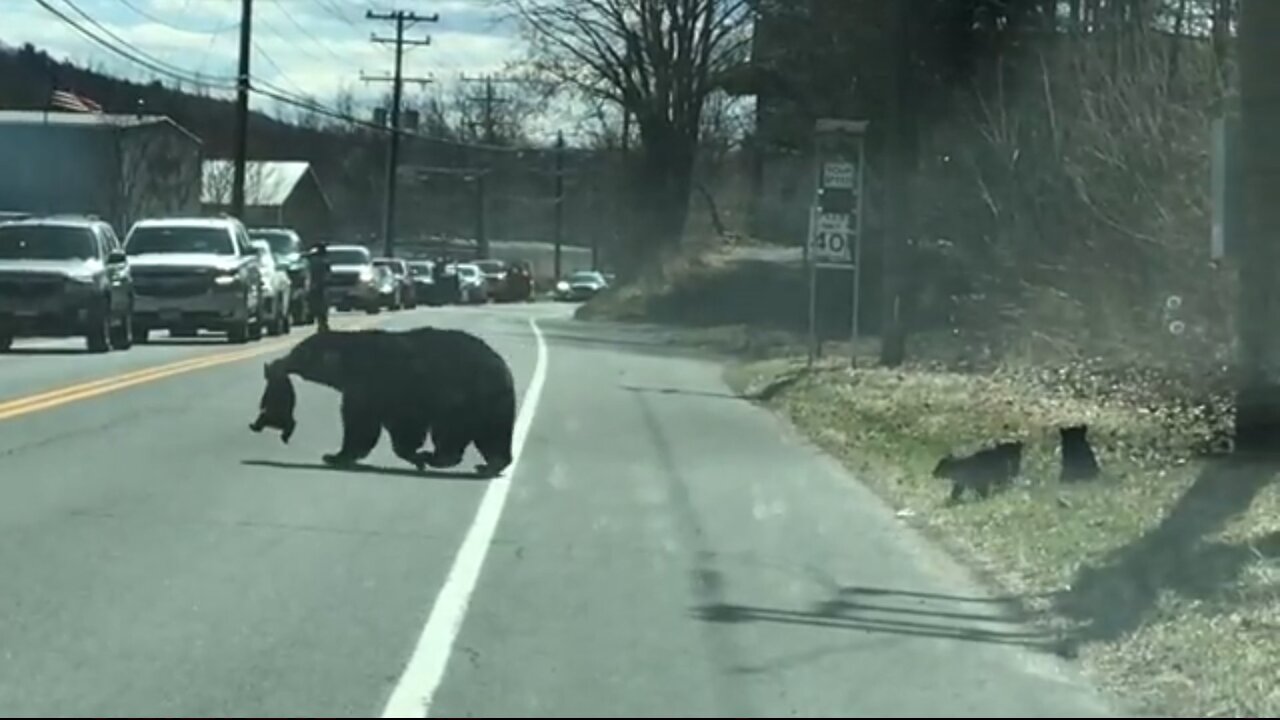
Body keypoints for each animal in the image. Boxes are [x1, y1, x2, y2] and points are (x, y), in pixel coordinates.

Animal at [263, 326, 514, 474]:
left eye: (299, 352)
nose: (278, 363)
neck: (350, 361)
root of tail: (505, 370)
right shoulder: (373, 392)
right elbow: (379, 426)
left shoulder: (378, 384)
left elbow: (365, 426)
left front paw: (334, 456)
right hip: (489, 405)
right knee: (493, 436)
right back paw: (490, 464)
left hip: (465, 397)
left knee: (452, 431)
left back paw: (439, 457)